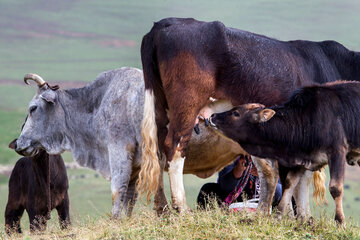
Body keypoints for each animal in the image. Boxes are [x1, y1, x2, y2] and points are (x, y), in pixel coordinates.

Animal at [211, 80, 360, 223]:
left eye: (236, 113)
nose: (213, 116)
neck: (307, 121)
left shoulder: (337, 152)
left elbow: (335, 188)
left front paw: (340, 221)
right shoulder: (300, 158)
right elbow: (289, 185)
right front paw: (279, 214)